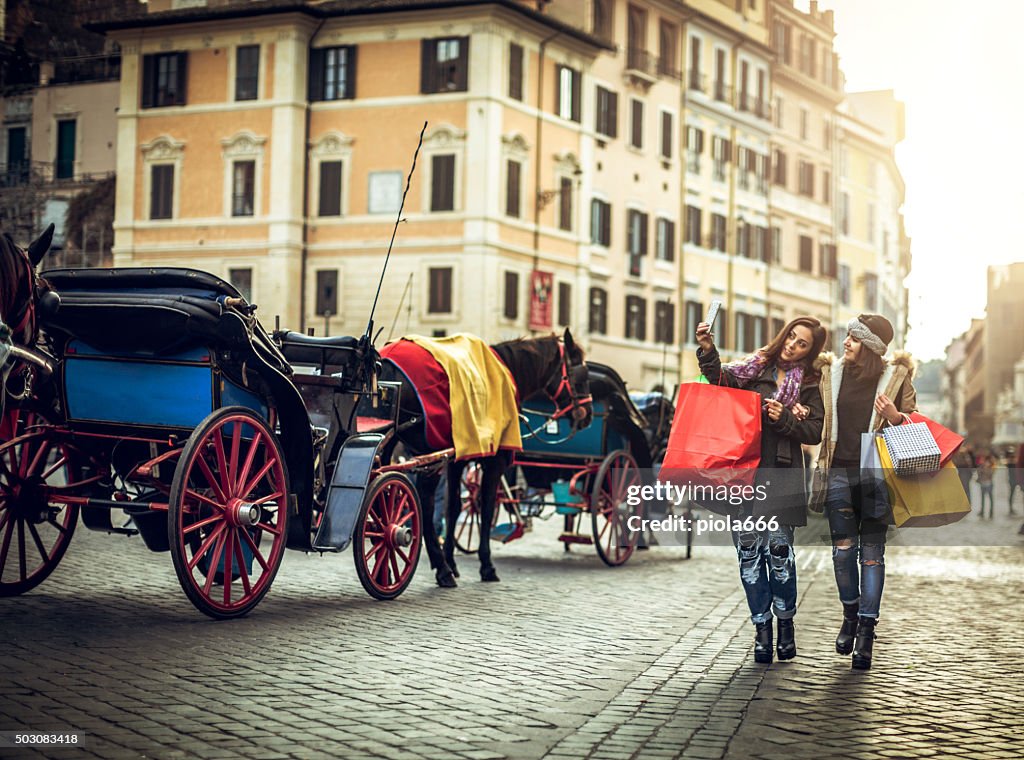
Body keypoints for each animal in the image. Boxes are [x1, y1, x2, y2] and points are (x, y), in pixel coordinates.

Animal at [382, 329, 593, 589]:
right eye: (582, 374)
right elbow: (485, 506)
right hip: (428, 455)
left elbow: (453, 507)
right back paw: (439, 568)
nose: (588, 415)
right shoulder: (494, 462)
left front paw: (452, 560)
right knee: (423, 500)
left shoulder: (458, 459)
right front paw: (486, 565)